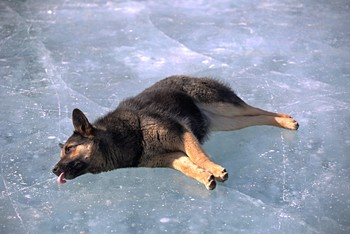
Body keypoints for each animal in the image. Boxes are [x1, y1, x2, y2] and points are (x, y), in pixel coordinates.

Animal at [52, 76, 298, 189]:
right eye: (62, 151)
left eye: (69, 149)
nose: (53, 170)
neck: (127, 134)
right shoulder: (169, 156)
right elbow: (186, 166)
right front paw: (205, 177)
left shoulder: (181, 132)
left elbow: (199, 156)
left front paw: (215, 170)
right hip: (226, 122)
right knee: (255, 117)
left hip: (222, 104)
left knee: (257, 109)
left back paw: (287, 120)